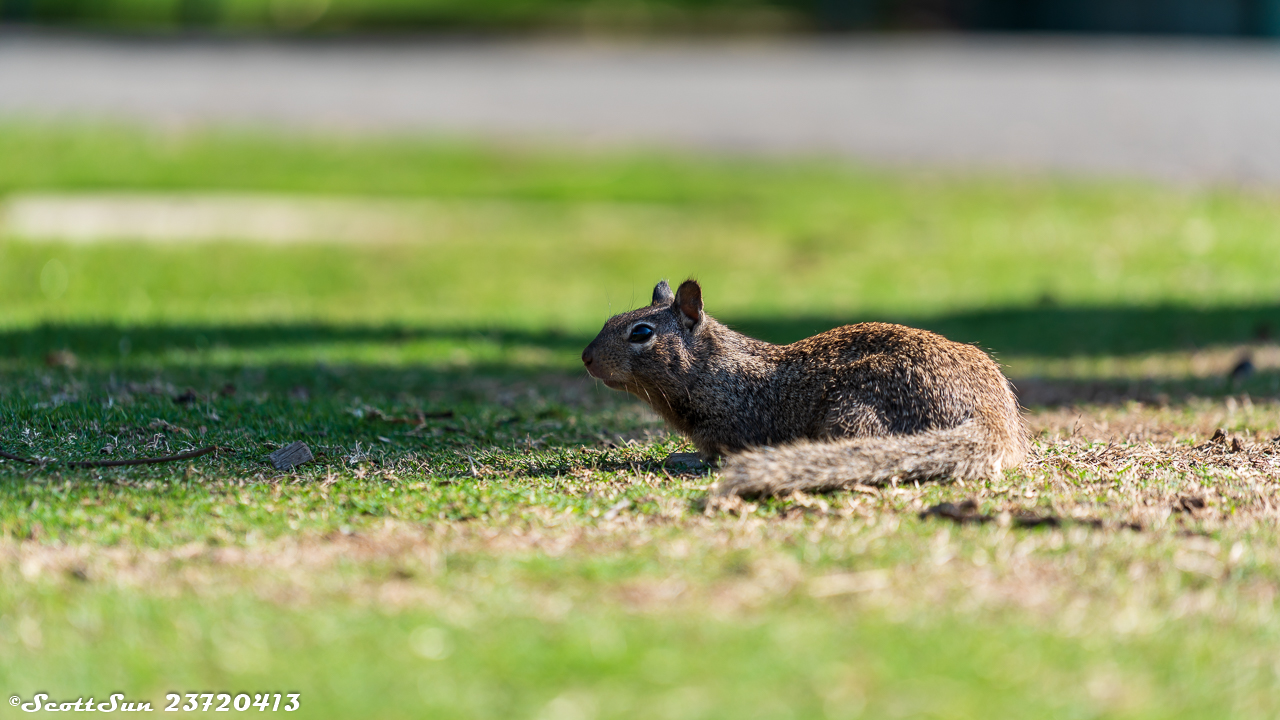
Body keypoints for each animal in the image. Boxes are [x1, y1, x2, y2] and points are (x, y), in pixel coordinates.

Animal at [581, 279, 1029, 491]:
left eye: (641, 333)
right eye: (610, 320)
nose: (585, 357)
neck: (717, 370)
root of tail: (991, 420)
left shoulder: (738, 426)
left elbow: (715, 454)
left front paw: (683, 458)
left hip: (854, 407)